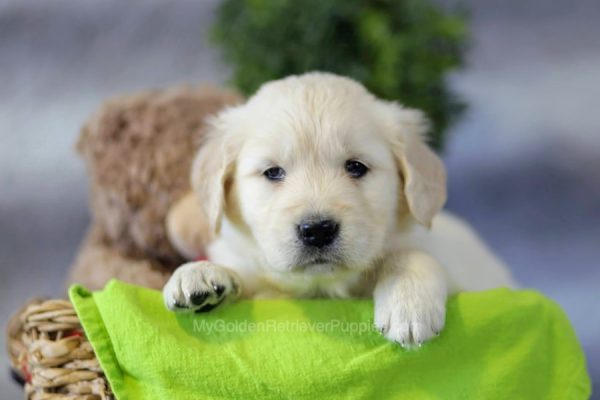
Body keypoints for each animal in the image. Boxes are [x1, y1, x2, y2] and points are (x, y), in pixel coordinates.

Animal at [164, 72, 516, 346]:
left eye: (356, 167)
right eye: (273, 172)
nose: (317, 230)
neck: (321, 289)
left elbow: (410, 255)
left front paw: (408, 303)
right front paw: (200, 275)